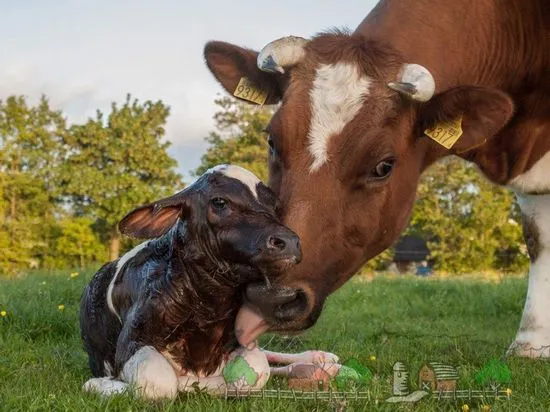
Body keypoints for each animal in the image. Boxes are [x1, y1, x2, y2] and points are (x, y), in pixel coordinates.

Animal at [81, 165, 340, 400]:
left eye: (275, 207)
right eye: (219, 202)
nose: (289, 242)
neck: (207, 306)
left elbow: (255, 371)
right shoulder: (132, 340)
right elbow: (160, 383)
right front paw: (101, 384)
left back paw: (320, 360)